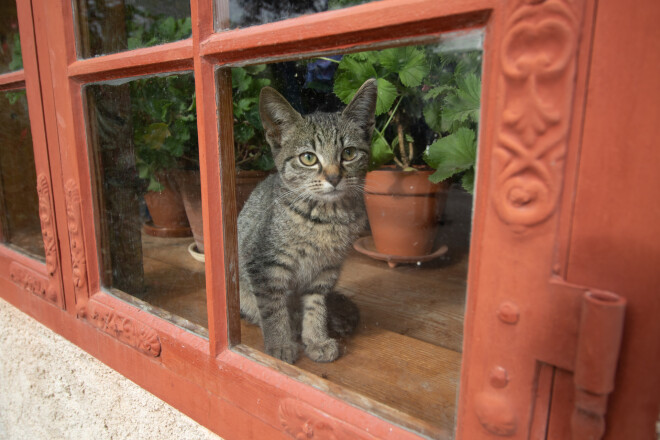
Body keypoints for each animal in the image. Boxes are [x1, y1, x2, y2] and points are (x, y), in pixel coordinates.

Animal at [237, 77, 376, 362]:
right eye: (308, 158)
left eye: (349, 153)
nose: (333, 177)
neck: (325, 218)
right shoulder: (264, 264)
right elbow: (273, 308)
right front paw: (280, 344)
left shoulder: (326, 270)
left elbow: (315, 306)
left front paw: (316, 338)